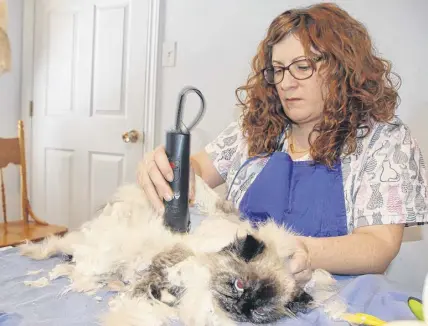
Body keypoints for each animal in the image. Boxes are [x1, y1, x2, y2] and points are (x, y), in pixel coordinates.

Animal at [20, 174, 348, 324]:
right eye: (239, 285)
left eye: (260, 313)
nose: (243, 307)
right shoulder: (166, 266)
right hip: (101, 253)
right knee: (60, 247)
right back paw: (31, 251)